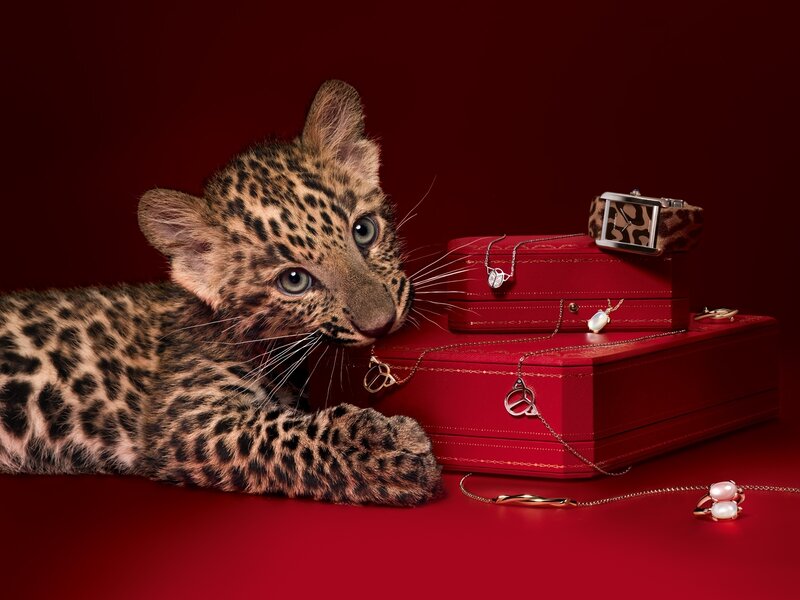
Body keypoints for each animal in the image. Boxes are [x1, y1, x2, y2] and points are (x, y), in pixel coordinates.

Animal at [0, 80, 442, 506]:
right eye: (294, 281)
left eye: (363, 230)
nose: (382, 324)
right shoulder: (185, 418)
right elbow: (283, 435)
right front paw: (390, 450)